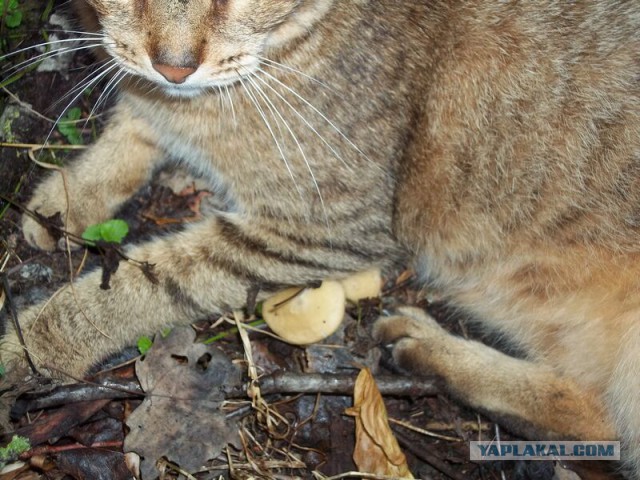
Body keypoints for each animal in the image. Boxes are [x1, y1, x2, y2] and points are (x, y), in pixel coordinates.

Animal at [1, 0, 640, 476]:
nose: (175, 66)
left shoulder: (327, 227)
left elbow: (140, 285)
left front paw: (29, 347)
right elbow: (135, 116)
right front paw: (66, 196)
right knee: (598, 416)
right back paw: (434, 353)